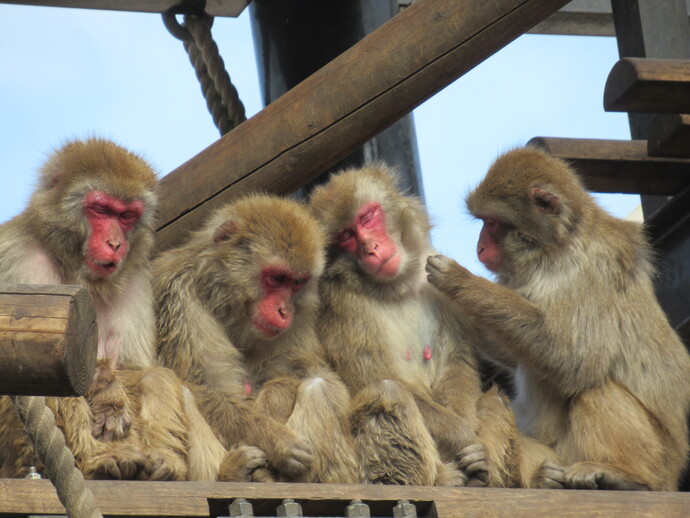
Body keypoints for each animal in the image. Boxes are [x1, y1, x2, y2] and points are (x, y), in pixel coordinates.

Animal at [0, 139, 260, 484]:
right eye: (101, 210)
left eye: (126, 216)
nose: (115, 244)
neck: (80, 271)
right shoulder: (15, 256)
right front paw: (104, 390)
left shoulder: (136, 278)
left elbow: (134, 366)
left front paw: (111, 389)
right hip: (19, 460)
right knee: (51, 373)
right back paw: (100, 462)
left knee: (156, 377)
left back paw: (172, 464)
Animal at [424, 146, 688, 492]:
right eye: (483, 223)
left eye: (492, 223)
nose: (479, 248)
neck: (554, 248)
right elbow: (515, 355)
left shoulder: (587, 269)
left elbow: (573, 359)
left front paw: (459, 279)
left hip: (657, 460)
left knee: (595, 387)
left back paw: (626, 477)